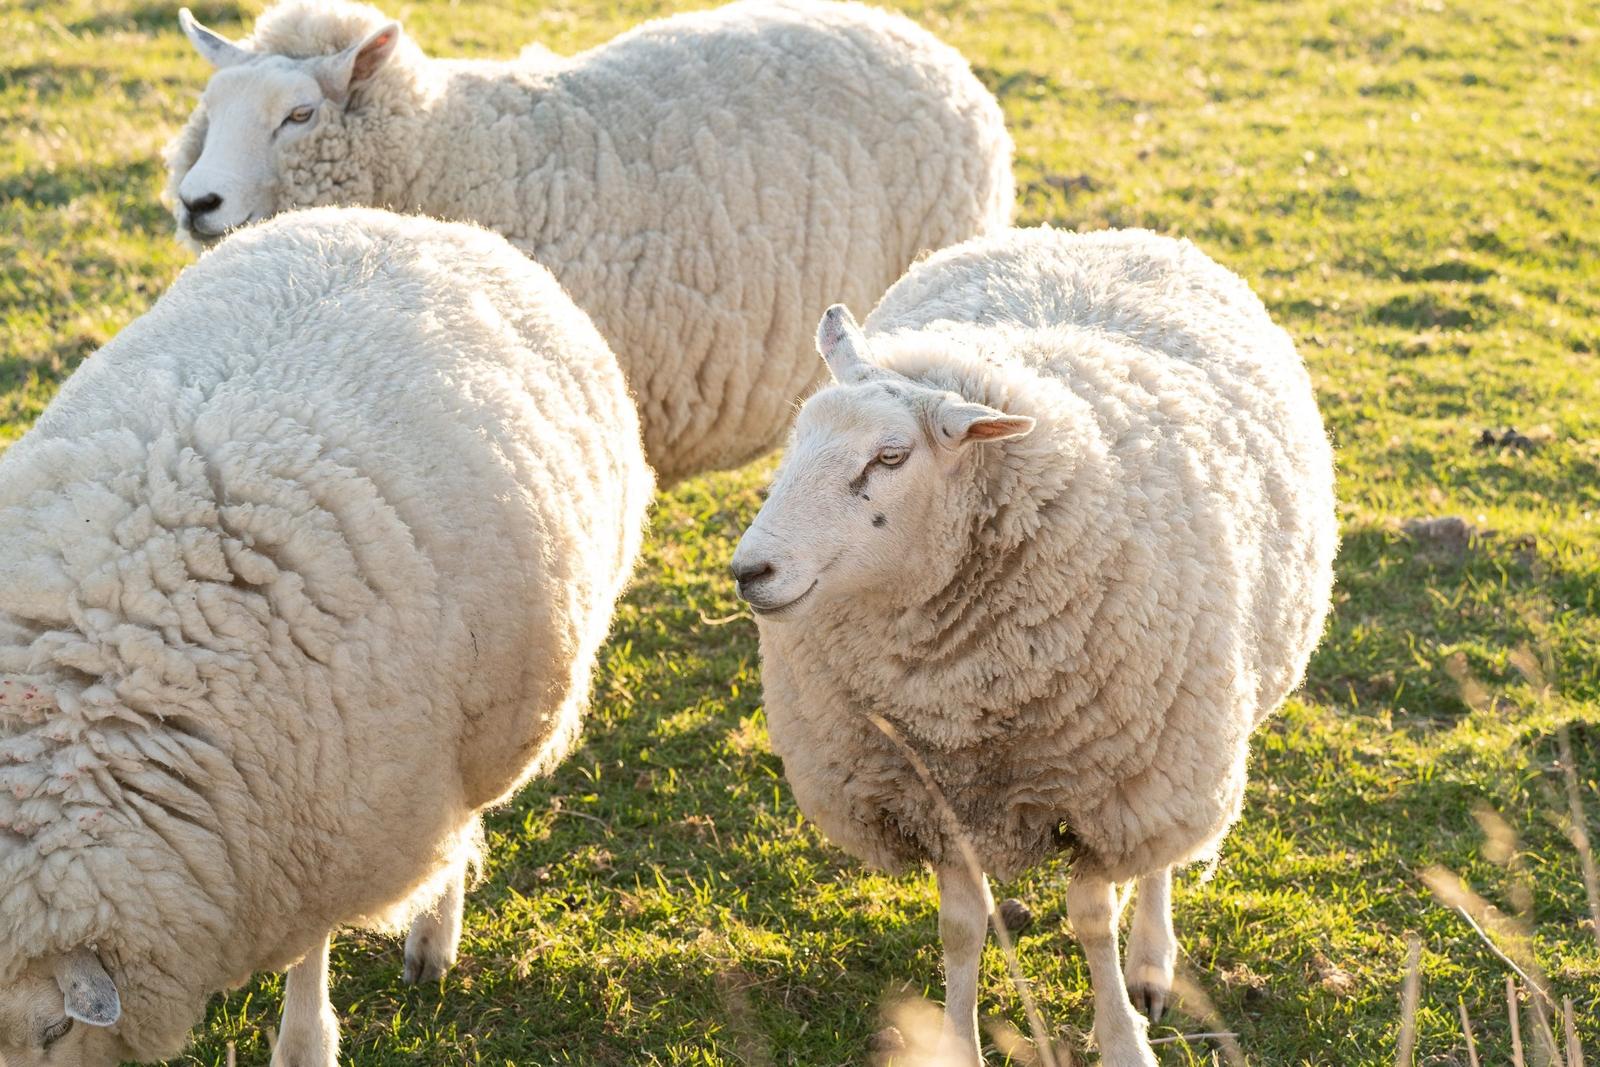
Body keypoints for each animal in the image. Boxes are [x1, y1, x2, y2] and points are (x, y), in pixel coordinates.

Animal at [0, 207, 653, 1066]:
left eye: (53, 1027)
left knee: (461, 828)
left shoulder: (327, 826)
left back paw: (432, 937)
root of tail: (421, 222)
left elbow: (310, 952)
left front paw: (306, 1039)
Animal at [730, 227, 1337, 1065]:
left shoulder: (1104, 788)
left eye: (890, 457)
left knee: (1160, 858)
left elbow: (1092, 920)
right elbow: (961, 927)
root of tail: (1090, 234)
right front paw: (957, 1040)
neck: (960, 702)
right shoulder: (933, 795)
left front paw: (1123, 1036)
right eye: (796, 443)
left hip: (1180, 738)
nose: (750, 570)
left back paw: (1152, 961)